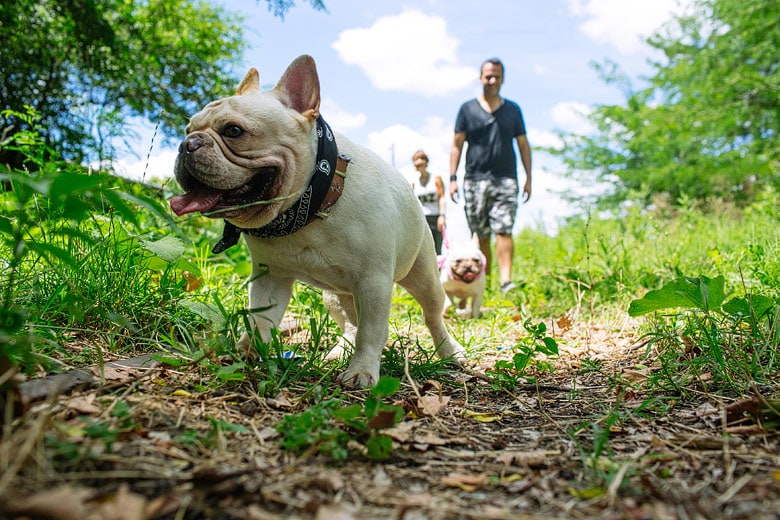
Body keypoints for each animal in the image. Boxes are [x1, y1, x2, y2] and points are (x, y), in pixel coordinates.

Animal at [169, 54, 464, 388]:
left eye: (234, 131)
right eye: (188, 128)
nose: (187, 143)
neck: (309, 205)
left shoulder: (374, 282)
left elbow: (372, 330)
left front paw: (362, 370)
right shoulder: (270, 277)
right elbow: (260, 318)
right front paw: (247, 352)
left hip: (423, 276)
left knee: (432, 315)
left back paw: (449, 351)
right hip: (335, 296)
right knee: (350, 323)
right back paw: (339, 351)